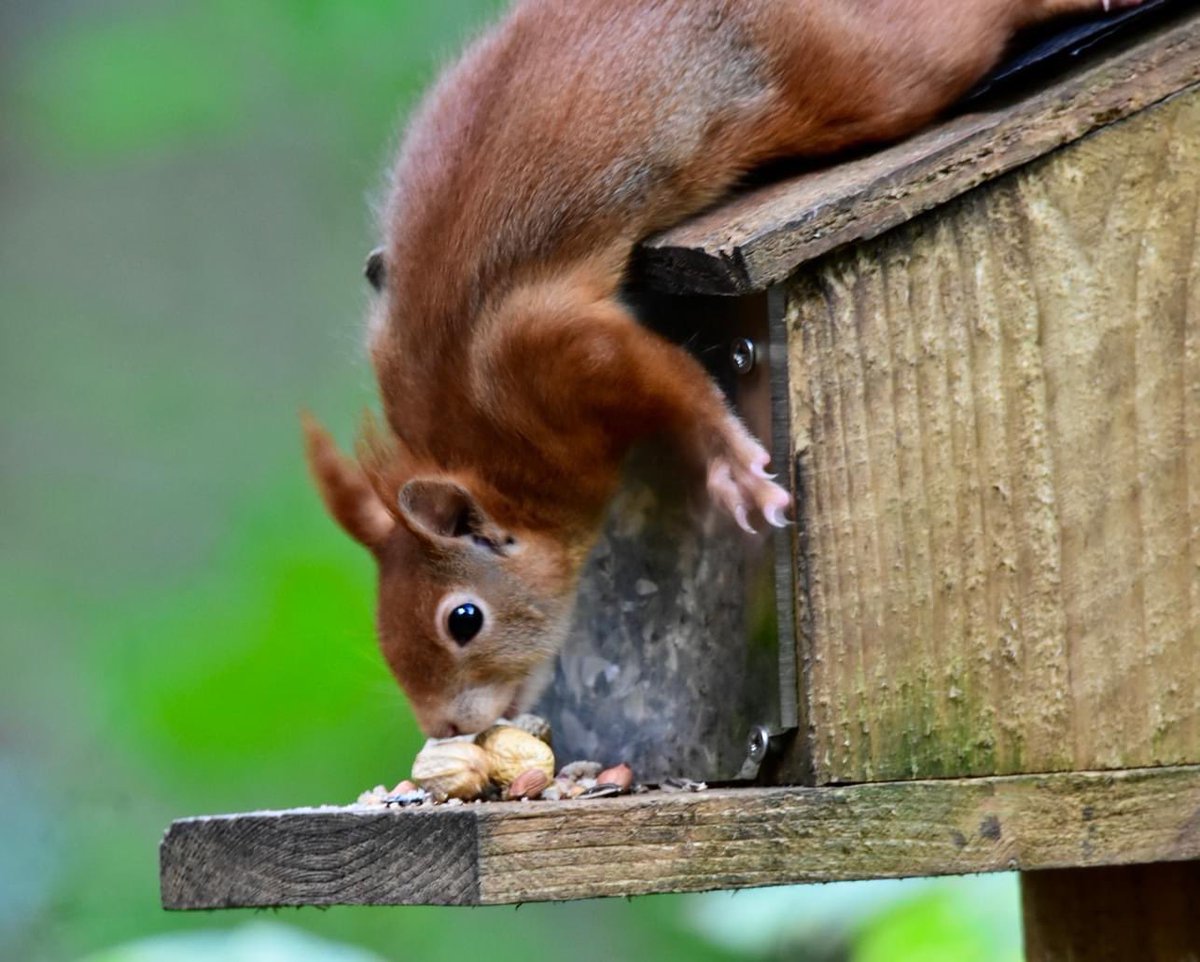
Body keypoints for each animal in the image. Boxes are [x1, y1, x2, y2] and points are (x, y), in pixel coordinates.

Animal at [304, 0, 1137, 734]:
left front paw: (733, 464)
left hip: (870, 77)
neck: (488, 449)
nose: (443, 728)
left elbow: (674, 380)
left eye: (464, 619)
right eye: (382, 631)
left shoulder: (543, 351)